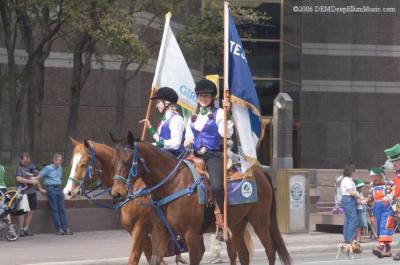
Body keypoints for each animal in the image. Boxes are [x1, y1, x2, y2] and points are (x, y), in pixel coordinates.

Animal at [109, 131, 290, 264]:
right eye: (114, 160)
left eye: (128, 160)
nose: (116, 193)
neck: (173, 184)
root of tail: (260, 173)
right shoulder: (161, 233)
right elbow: (154, 259)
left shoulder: (192, 237)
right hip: (238, 224)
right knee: (244, 255)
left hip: (260, 221)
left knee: (270, 251)